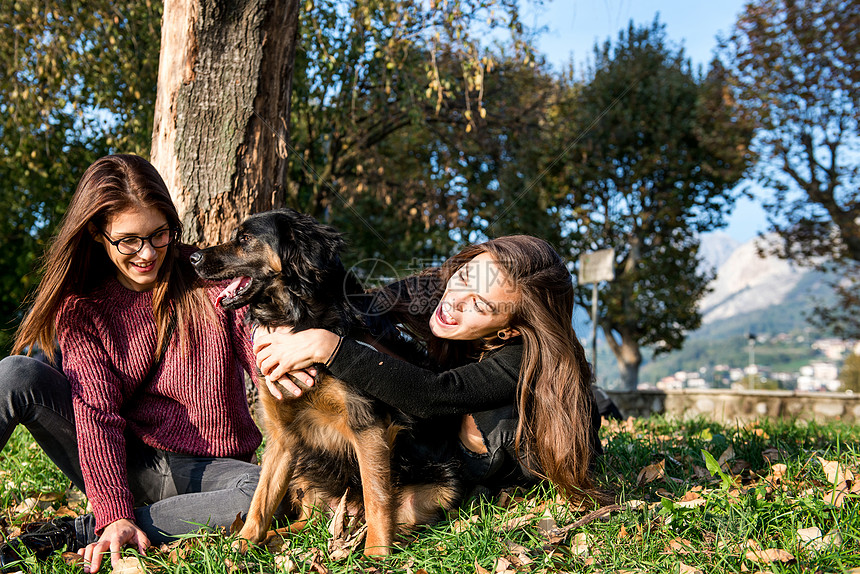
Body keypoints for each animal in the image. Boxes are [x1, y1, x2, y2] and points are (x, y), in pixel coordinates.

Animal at [191, 208, 460, 560]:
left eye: (245, 238)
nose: (192, 257)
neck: (297, 319)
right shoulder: (281, 436)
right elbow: (260, 501)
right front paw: (241, 546)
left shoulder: (367, 424)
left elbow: (377, 497)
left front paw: (376, 556)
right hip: (305, 476)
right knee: (306, 524)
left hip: (440, 487)